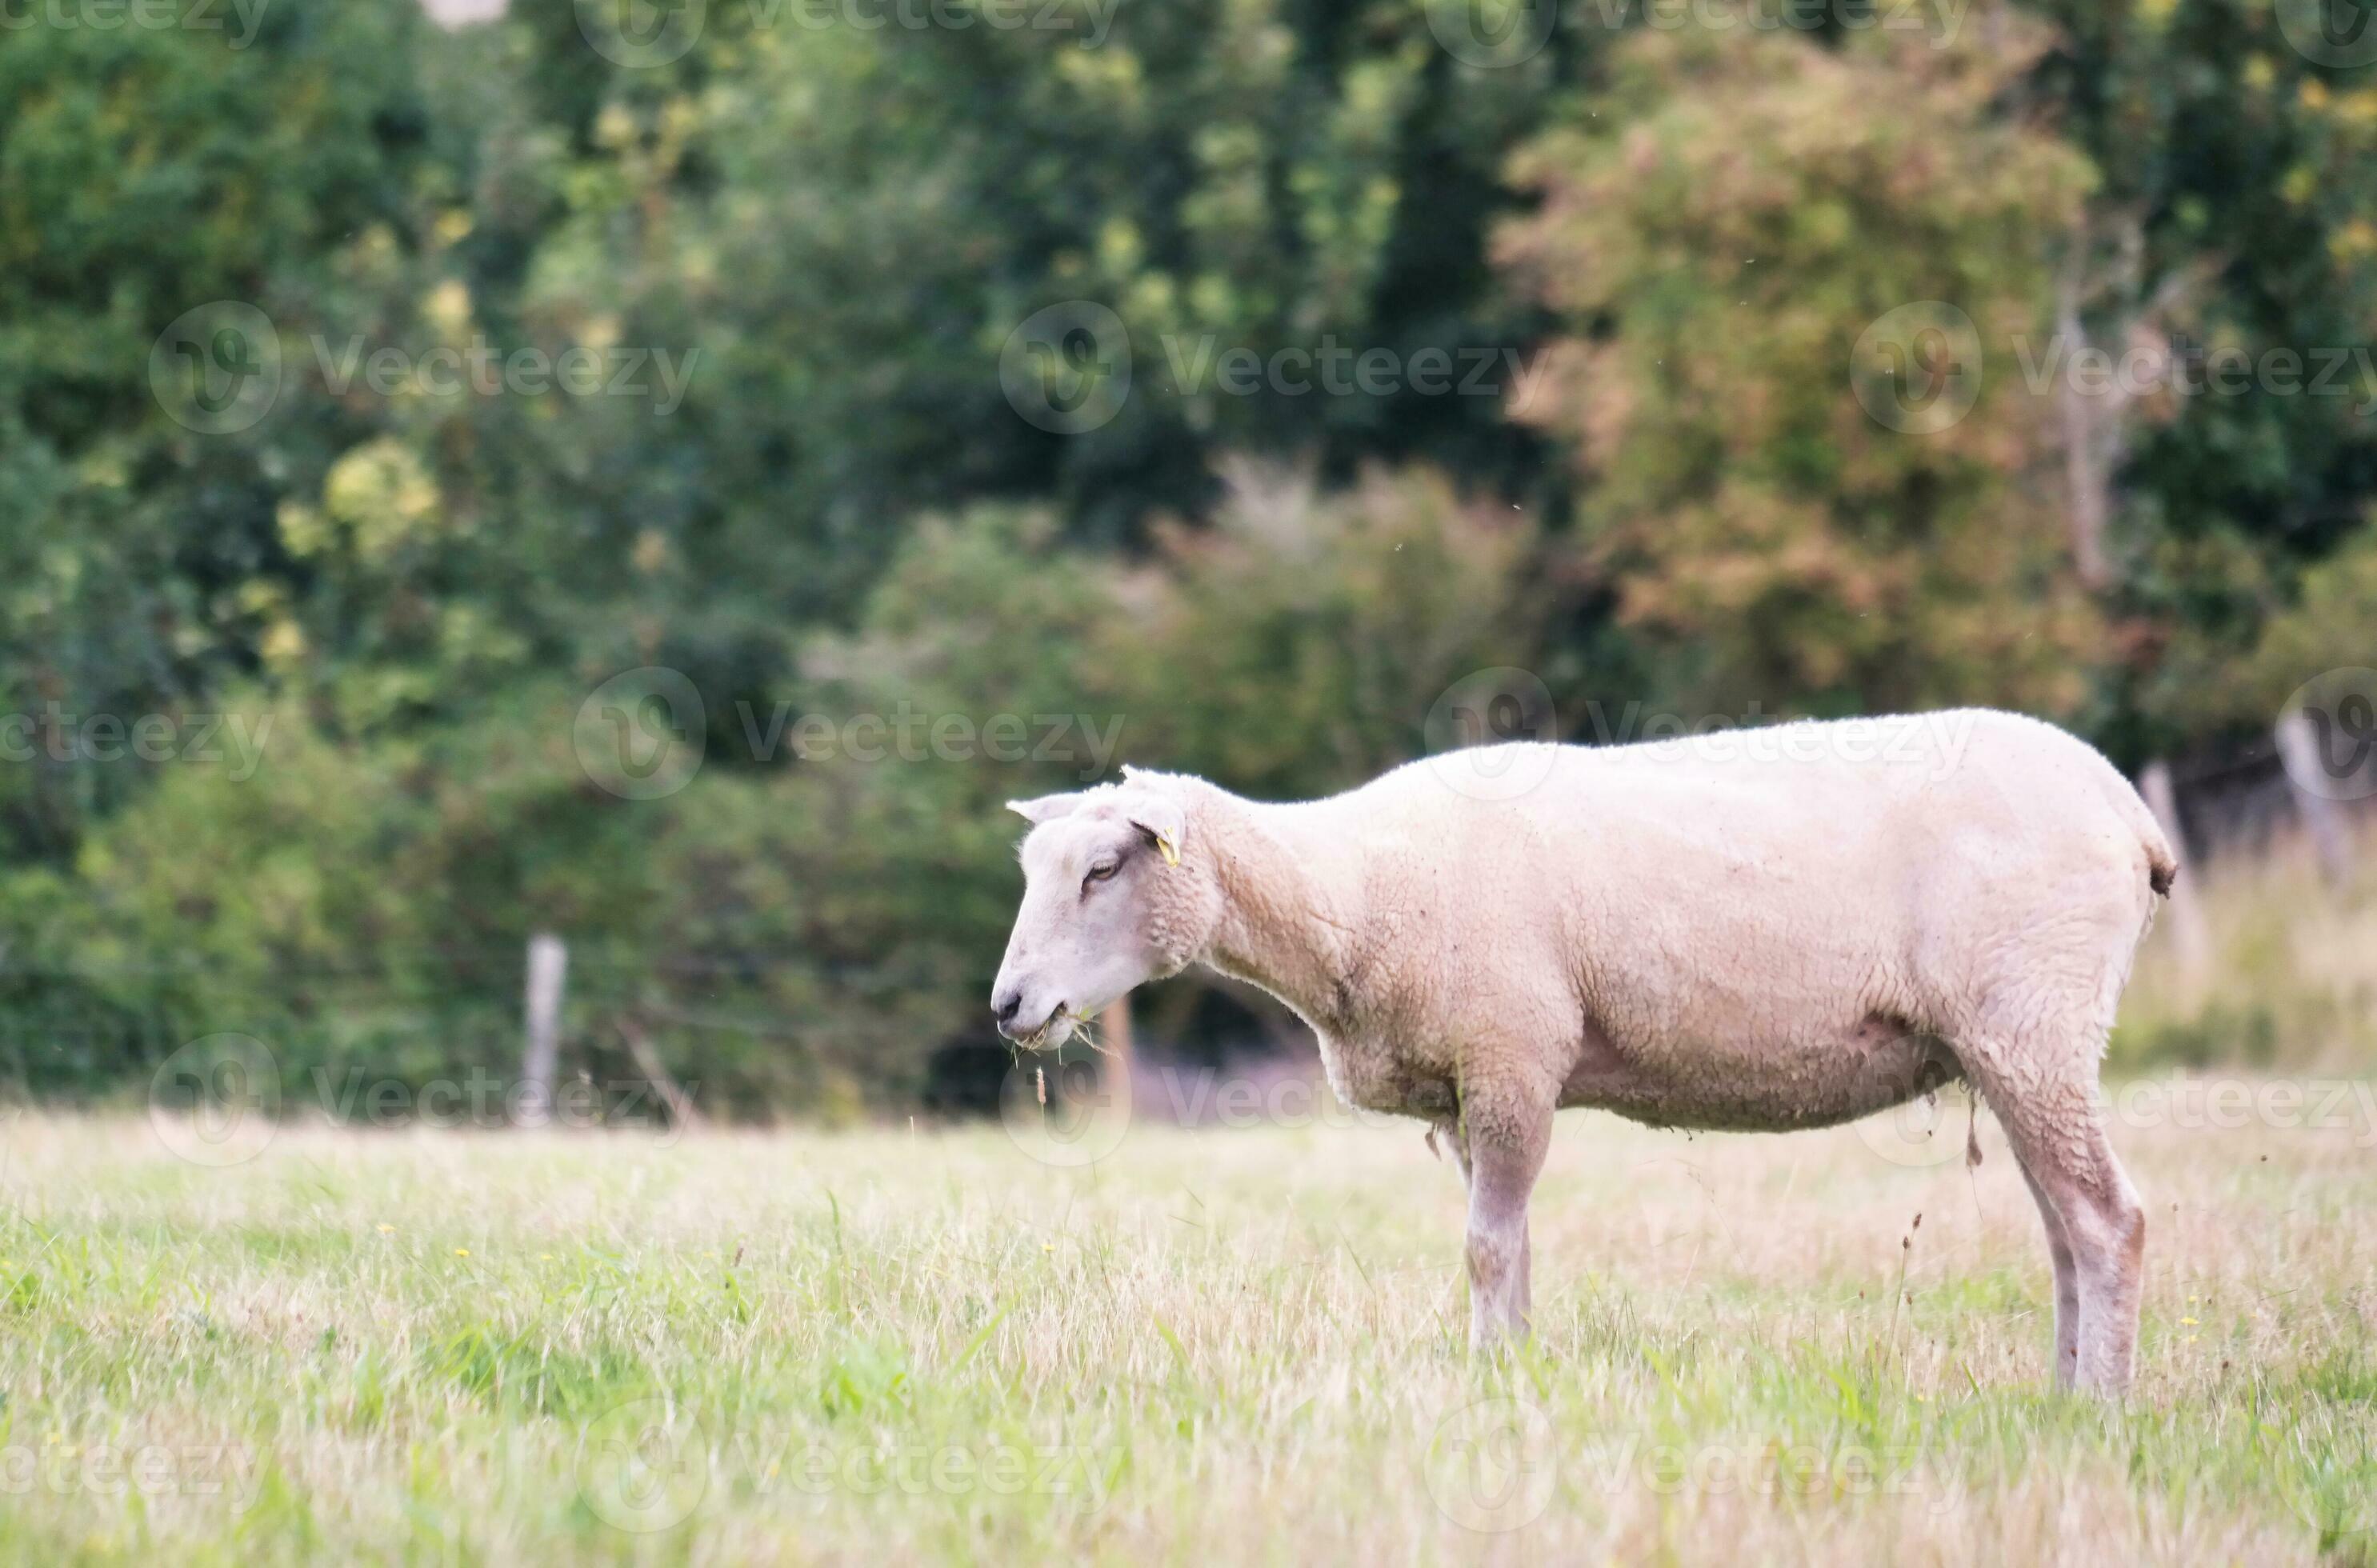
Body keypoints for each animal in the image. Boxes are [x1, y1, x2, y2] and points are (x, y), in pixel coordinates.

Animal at [990, 708, 2174, 1392]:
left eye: (1103, 869)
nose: (1007, 1005)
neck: (1357, 887)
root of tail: (2126, 809)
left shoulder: (1512, 1055)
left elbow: (1484, 1247)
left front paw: (1489, 1385)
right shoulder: (1468, 1088)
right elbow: (1506, 1247)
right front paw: (1511, 1376)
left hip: (2031, 1015)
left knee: (2107, 1221)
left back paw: (2100, 1413)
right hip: (2015, 1043)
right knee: (2063, 1231)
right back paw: (2059, 1399)